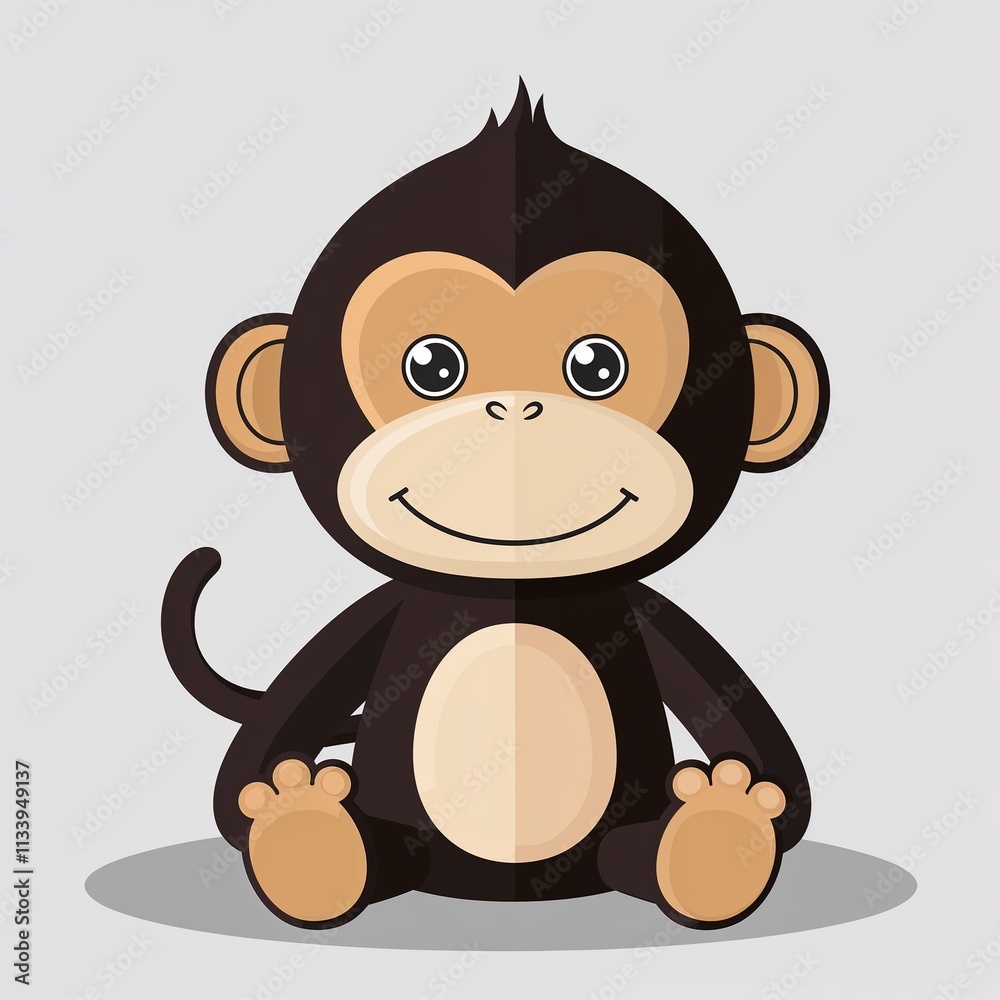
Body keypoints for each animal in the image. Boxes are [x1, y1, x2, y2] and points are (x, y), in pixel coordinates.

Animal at [162, 79, 830, 932]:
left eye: (597, 365)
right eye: (432, 364)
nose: (514, 409)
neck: (513, 596)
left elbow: (781, 781)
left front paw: (740, 810)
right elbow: (243, 779)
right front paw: (282, 805)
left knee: (632, 854)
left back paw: (709, 839)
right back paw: (312, 837)